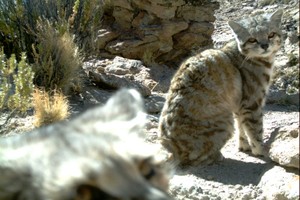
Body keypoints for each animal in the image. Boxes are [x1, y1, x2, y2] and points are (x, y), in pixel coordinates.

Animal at [159, 9, 284, 166]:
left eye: (271, 34)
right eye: (252, 39)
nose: (265, 45)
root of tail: (168, 146)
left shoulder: (239, 105)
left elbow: (242, 126)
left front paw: (244, 146)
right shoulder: (252, 103)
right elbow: (256, 131)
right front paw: (261, 151)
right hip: (225, 122)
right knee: (194, 158)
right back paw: (217, 156)